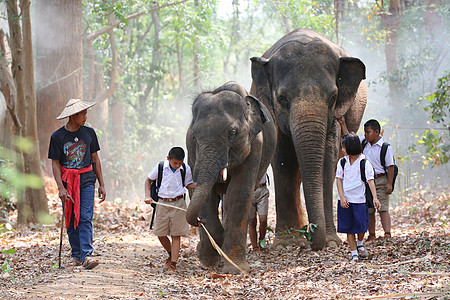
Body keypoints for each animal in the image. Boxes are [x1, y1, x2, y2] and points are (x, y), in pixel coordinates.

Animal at [185, 81, 276, 274]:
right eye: (195, 136)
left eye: (232, 133)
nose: (199, 220)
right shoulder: (191, 148)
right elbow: (207, 195)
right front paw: (208, 261)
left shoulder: (255, 145)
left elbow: (239, 192)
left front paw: (235, 268)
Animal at [251, 28, 368, 250]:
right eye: (282, 99)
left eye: (333, 97)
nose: (313, 234)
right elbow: (283, 160)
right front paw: (285, 245)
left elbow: (327, 160)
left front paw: (331, 242)